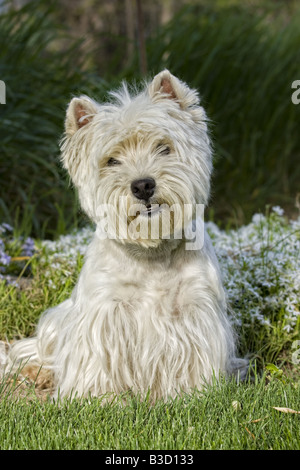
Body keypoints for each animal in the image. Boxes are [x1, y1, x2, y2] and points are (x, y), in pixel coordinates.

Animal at [4, 70, 245, 400]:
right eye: (112, 161)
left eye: (163, 147)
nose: (143, 185)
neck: (152, 252)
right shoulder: (104, 313)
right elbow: (97, 363)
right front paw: (99, 398)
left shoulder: (196, 307)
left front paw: (192, 394)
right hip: (57, 320)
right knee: (35, 350)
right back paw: (35, 373)